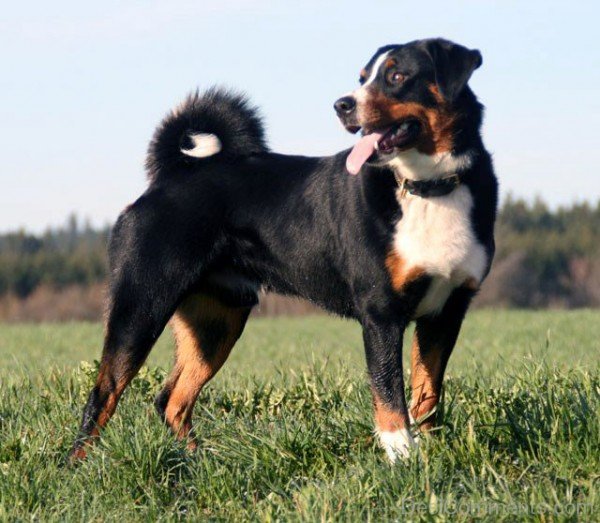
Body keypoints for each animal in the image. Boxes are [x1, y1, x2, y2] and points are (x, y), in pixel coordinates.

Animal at [69, 37, 496, 462]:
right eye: (362, 78)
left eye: (396, 76)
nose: (342, 105)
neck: (428, 188)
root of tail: (173, 175)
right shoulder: (381, 314)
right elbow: (390, 397)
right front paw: (402, 461)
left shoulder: (445, 311)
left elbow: (427, 394)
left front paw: (430, 456)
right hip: (141, 306)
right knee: (103, 395)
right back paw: (77, 466)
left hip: (216, 320)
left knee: (171, 400)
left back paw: (202, 462)